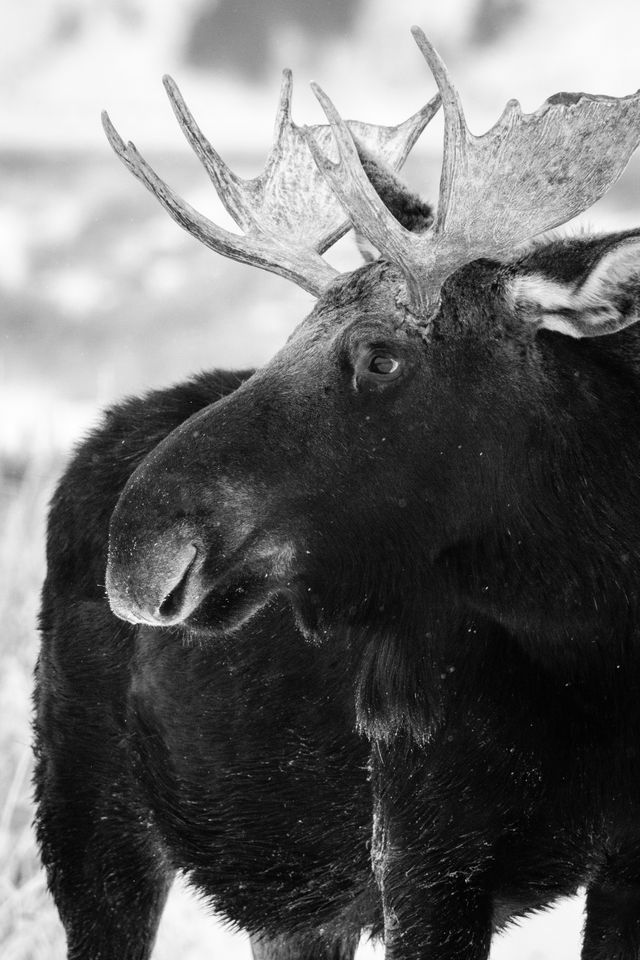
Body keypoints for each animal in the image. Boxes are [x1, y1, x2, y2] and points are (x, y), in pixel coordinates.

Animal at [36, 26, 640, 960]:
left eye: (380, 355)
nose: (140, 545)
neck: (595, 631)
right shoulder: (425, 852)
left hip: (297, 904)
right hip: (90, 823)